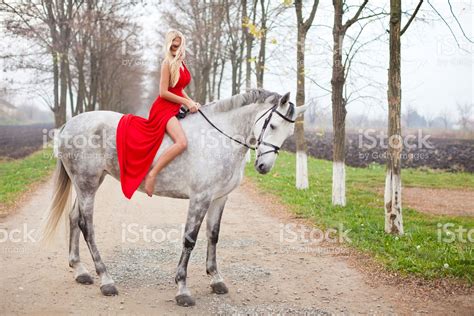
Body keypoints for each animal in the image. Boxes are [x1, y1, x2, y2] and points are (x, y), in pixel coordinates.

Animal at [40, 88, 308, 306]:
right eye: (272, 126)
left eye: (289, 133)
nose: (264, 166)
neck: (219, 138)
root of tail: (69, 124)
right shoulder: (200, 198)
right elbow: (190, 240)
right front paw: (182, 289)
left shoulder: (219, 198)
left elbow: (213, 236)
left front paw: (216, 279)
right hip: (87, 184)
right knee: (86, 225)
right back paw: (106, 280)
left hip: (87, 183)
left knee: (73, 218)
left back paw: (80, 270)